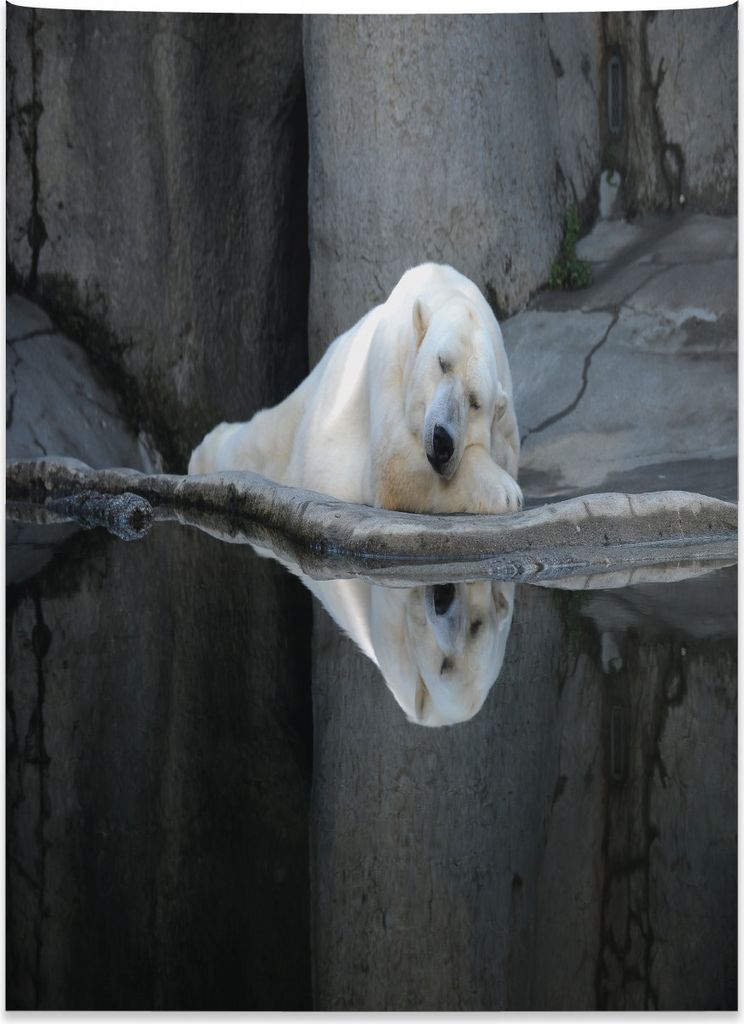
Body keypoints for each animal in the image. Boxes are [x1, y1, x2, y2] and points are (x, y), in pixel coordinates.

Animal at [189, 263, 522, 515]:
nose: (442, 440)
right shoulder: (390, 361)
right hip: (302, 420)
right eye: (442, 363)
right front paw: (505, 491)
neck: (444, 287)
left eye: (475, 401)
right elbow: (395, 467)